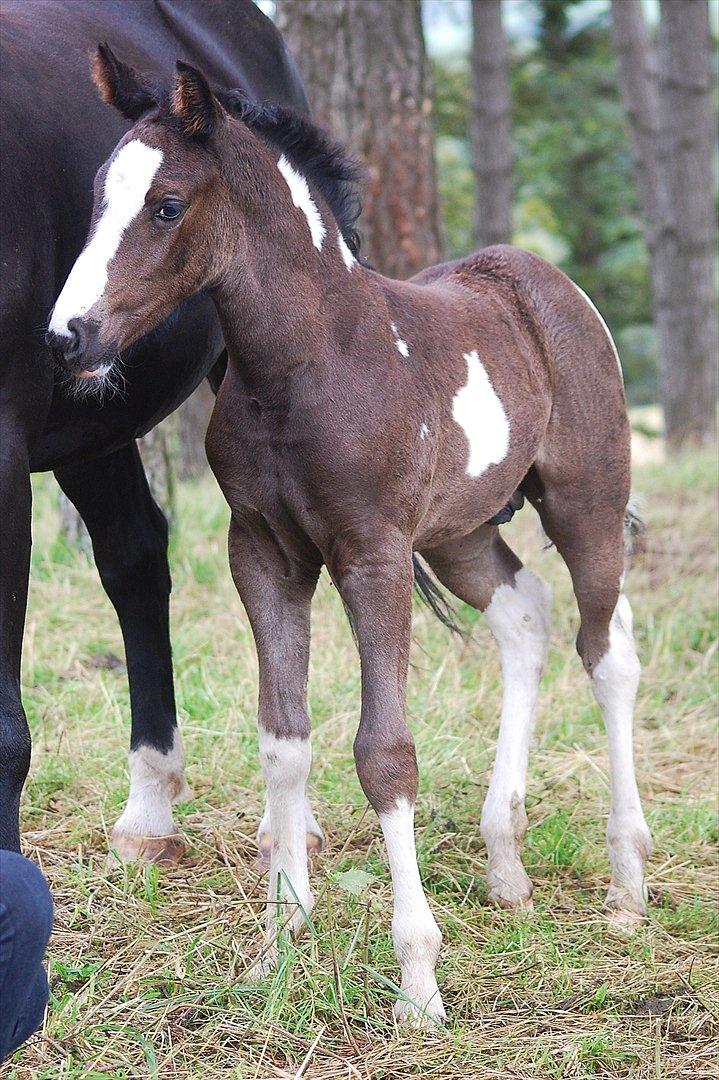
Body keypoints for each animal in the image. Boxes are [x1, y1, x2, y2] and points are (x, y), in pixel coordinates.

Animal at [50, 52, 647, 1028]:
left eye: (168, 205)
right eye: (99, 195)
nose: (70, 337)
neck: (302, 364)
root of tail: (542, 278)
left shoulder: (370, 554)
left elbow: (384, 754)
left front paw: (418, 982)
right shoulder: (262, 554)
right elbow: (283, 739)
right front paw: (277, 943)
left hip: (585, 502)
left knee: (607, 651)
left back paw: (627, 883)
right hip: (459, 532)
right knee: (524, 615)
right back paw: (506, 862)